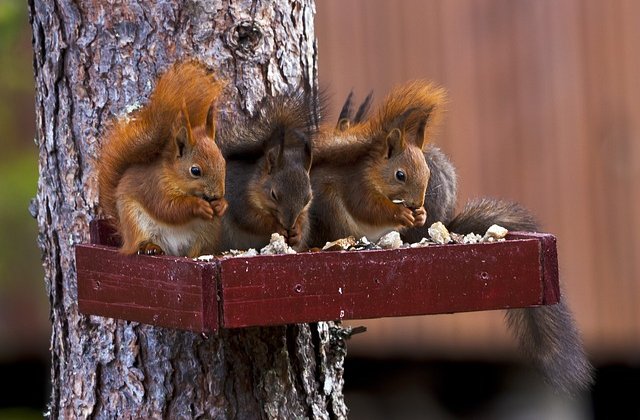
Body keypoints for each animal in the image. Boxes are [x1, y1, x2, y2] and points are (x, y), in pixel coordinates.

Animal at [97, 60, 228, 254]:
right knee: (140, 242)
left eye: (223, 162)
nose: (217, 195)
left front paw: (221, 205)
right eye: (195, 171)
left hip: (207, 232)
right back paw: (151, 247)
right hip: (135, 221)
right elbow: (167, 208)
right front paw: (198, 206)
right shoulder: (155, 186)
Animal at [306, 80, 444, 248]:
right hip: (331, 210)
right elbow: (369, 209)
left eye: (428, 172)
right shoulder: (357, 186)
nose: (417, 203)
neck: (374, 173)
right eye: (400, 175)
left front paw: (421, 215)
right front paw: (401, 213)